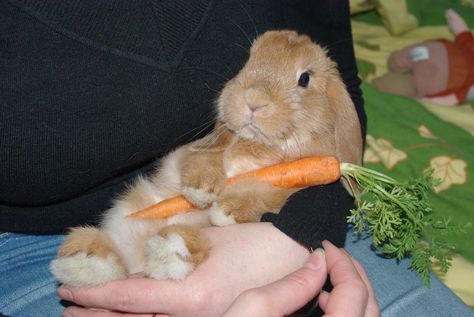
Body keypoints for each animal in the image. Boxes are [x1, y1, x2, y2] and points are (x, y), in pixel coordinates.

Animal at [50, 30, 362, 286]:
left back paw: (171, 248)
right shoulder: (188, 155)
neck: (257, 145)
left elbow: (269, 190)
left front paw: (226, 210)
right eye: (248, 62)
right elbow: (203, 161)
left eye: (305, 78)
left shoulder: (300, 176)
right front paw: (200, 192)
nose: (253, 100)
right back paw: (84, 258)